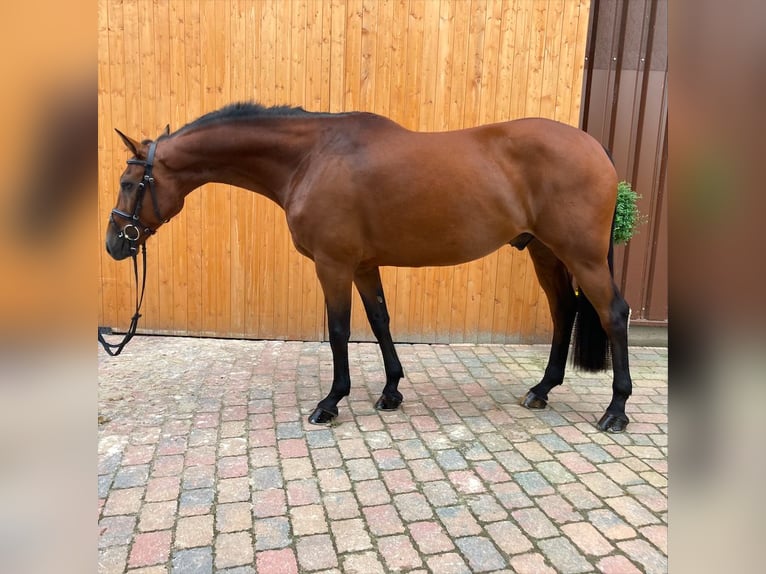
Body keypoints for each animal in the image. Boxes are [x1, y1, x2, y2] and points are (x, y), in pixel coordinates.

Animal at [108, 104, 636, 436]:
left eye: (129, 182)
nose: (115, 244)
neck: (311, 158)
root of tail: (595, 146)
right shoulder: (363, 265)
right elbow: (380, 321)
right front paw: (391, 392)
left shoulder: (333, 264)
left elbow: (340, 331)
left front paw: (330, 402)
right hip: (544, 251)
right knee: (563, 311)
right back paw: (542, 390)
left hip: (583, 255)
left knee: (613, 313)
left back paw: (615, 410)